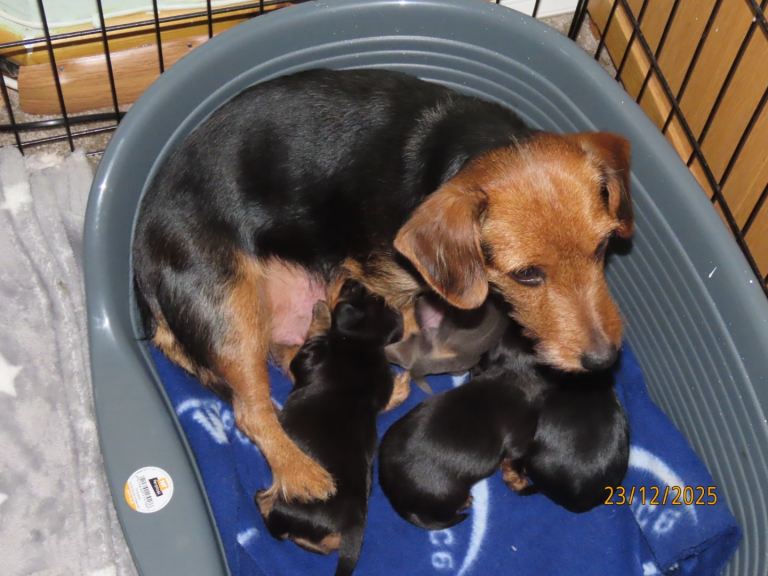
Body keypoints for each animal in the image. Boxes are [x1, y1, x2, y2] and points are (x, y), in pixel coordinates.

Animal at [133, 67, 634, 504]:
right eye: (527, 274)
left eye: (602, 247)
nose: (603, 359)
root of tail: (142, 272)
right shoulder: (388, 282)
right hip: (231, 309)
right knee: (251, 411)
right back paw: (305, 475)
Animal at [259, 281, 402, 576]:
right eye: (375, 296)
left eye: (357, 294)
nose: (352, 282)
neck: (364, 344)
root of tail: (354, 526)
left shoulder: (309, 354)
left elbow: (317, 332)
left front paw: (321, 310)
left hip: (291, 508)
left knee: (277, 526)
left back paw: (263, 499)